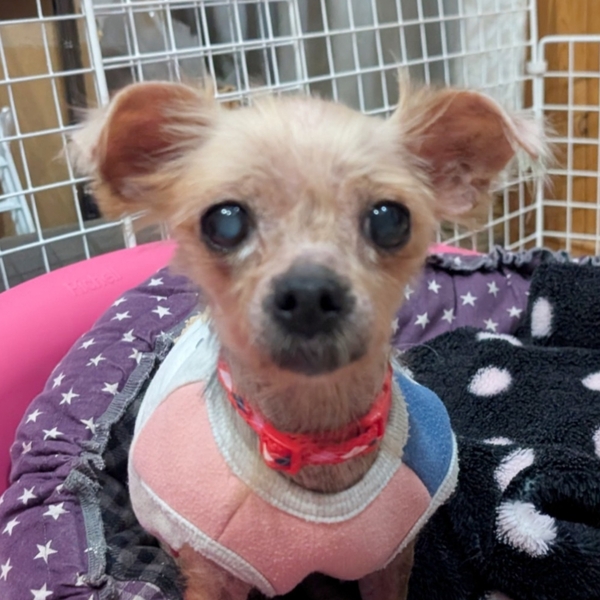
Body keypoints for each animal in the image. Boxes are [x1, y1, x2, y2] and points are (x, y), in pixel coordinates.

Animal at [70, 79, 544, 600]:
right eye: (224, 221)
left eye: (390, 219)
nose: (310, 293)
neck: (318, 443)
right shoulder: (213, 574)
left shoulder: (390, 561)